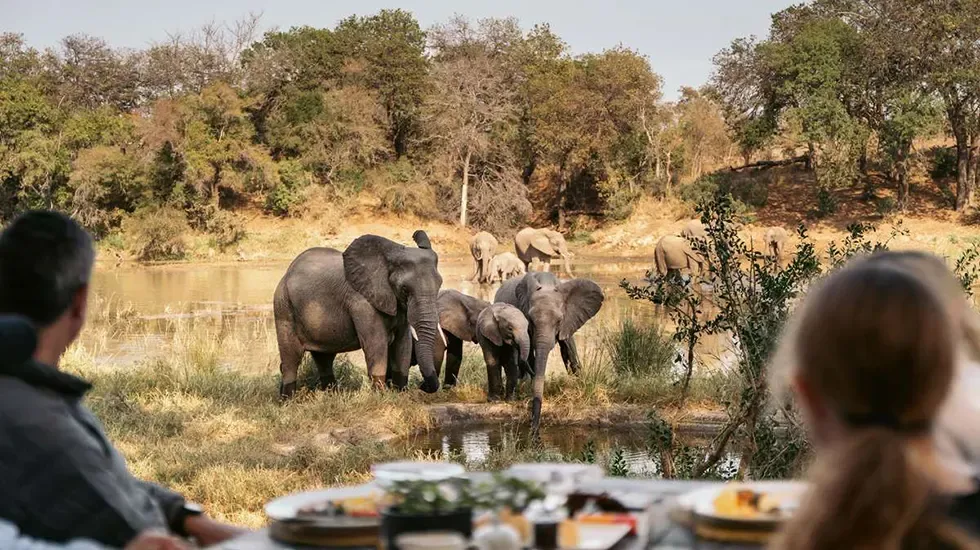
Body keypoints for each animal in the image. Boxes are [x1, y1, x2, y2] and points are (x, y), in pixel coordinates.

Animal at [273, 230, 442, 398]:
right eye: (405, 289)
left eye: (439, 285)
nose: (422, 385)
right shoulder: (361, 302)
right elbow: (376, 343)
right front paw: (380, 397)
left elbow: (403, 344)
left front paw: (401, 394)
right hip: (283, 307)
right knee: (291, 359)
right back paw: (288, 400)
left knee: (324, 358)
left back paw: (332, 395)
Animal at [495, 272, 604, 432]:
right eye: (530, 320)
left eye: (559, 321)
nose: (534, 428)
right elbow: (531, 352)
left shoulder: (569, 318)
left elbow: (568, 348)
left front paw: (580, 382)